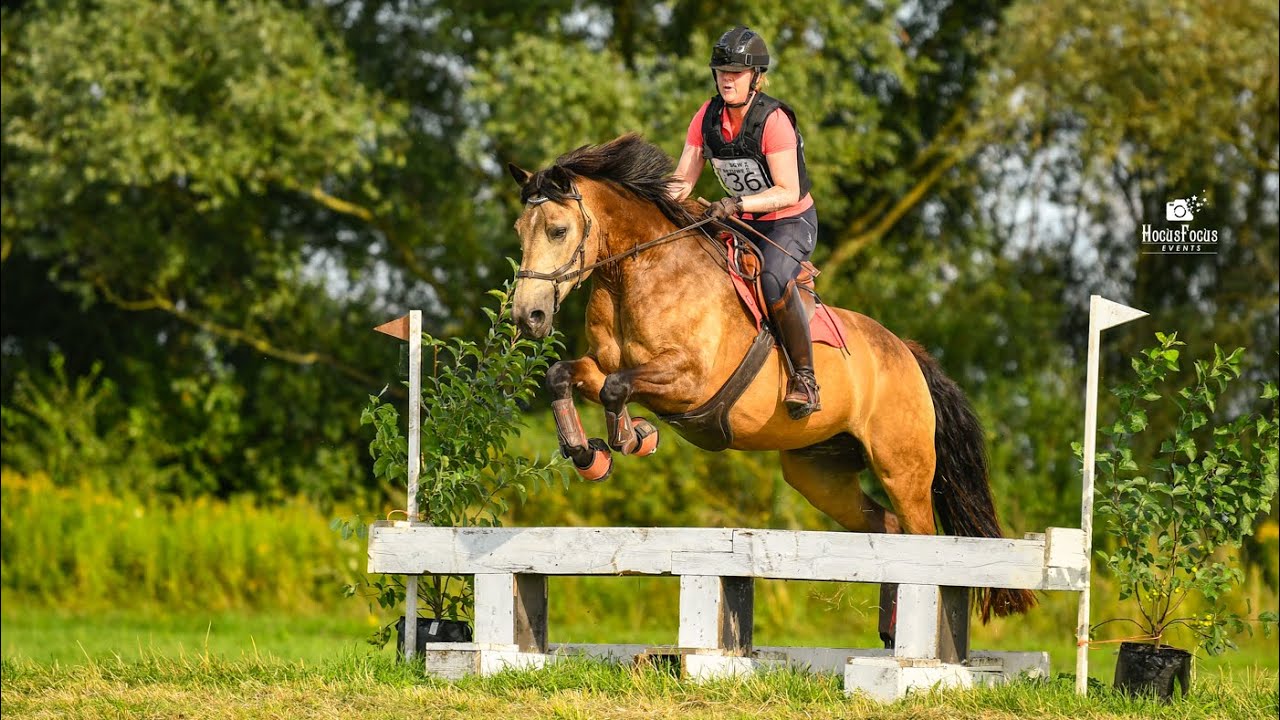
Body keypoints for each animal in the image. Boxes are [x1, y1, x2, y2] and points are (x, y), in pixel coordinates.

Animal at [506, 133, 1036, 628]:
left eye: (558, 230)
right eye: (519, 232)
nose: (527, 317)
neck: (634, 274)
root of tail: (907, 353)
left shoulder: (688, 381)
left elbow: (618, 387)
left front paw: (634, 437)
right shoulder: (600, 366)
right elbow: (563, 376)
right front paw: (588, 455)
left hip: (903, 469)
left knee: (923, 542)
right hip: (820, 475)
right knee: (888, 530)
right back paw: (889, 630)